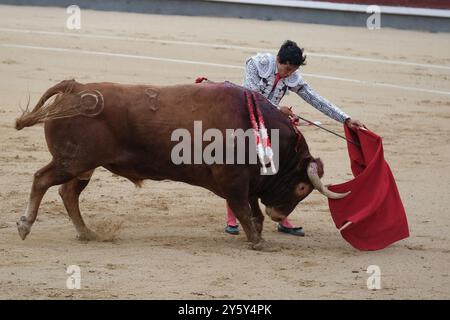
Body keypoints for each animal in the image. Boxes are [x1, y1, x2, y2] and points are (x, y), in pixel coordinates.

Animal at [14, 80, 346, 250]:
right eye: (302, 187)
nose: (280, 215)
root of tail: (75, 87)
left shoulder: (248, 184)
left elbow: (253, 213)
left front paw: (260, 236)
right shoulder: (234, 181)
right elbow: (245, 212)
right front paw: (257, 243)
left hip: (83, 165)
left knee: (68, 193)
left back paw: (87, 233)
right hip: (71, 161)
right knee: (41, 179)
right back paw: (25, 226)